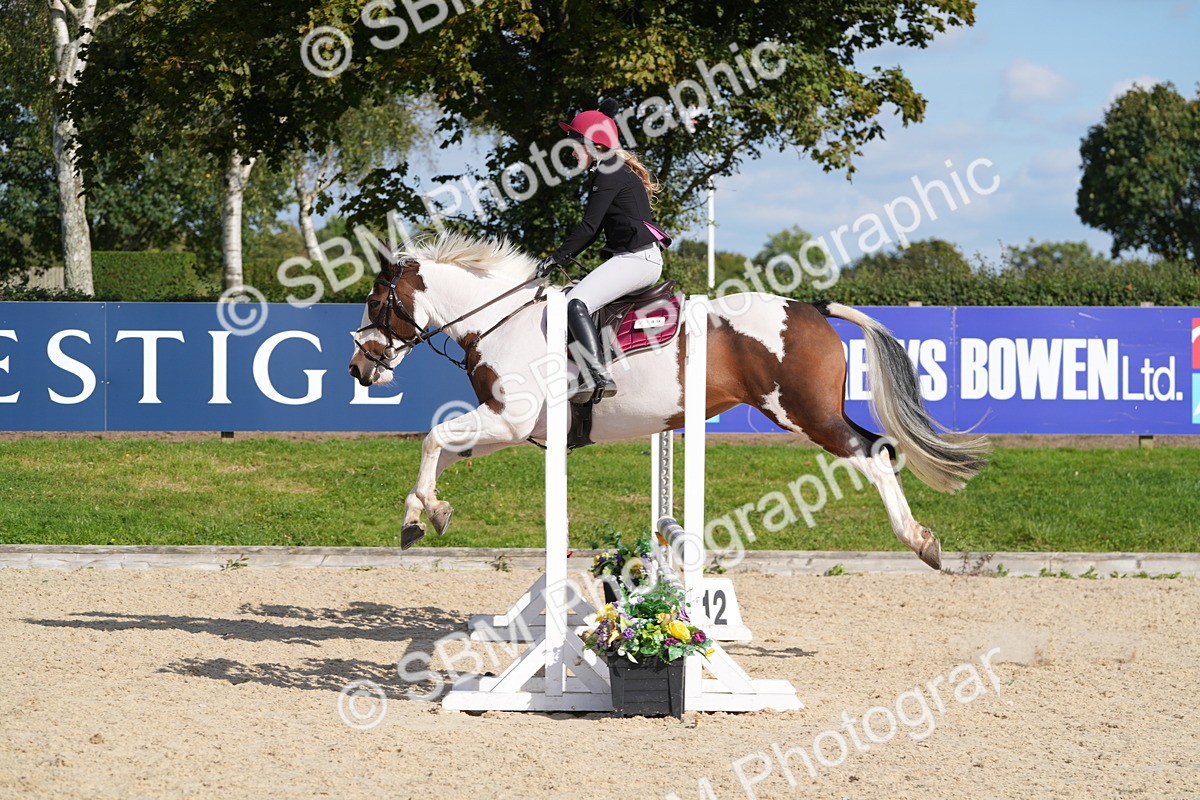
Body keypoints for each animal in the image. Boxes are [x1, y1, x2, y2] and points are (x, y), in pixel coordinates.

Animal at [348, 233, 987, 569]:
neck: (501, 320)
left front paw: (420, 513)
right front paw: (425, 514)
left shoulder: (507, 420)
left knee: (872, 455)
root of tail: (808, 307)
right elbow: (441, 451)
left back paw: (919, 540)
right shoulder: (509, 429)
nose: (359, 368)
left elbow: (433, 438)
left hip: (805, 414)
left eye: (376, 301)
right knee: (881, 448)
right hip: (815, 411)